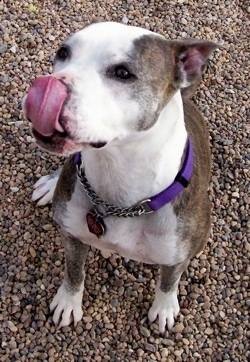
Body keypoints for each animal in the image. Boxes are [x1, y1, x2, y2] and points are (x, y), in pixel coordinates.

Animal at [22, 21, 218, 334]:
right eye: (63, 53)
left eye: (123, 73)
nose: (47, 85)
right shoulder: (72, 234)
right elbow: (74, 272)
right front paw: (68, 302)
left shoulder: (178, 254)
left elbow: (168, 281)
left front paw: (164, 308)